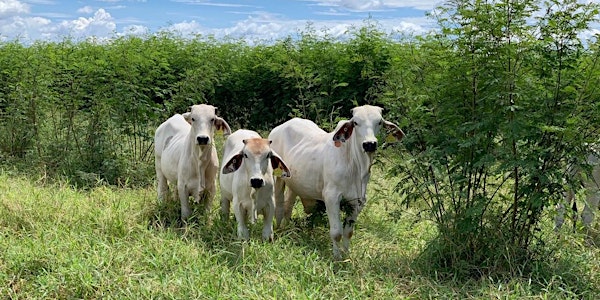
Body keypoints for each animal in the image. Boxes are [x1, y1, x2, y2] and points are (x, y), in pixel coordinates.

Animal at [270, 104, 406, 258]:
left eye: (379, 122)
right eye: (356, 123)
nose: (369, 144)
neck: (356, 167)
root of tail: (278, 128)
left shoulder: (357, 201)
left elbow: (348, 232)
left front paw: (346, 255)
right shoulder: (331, 197)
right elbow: (336, 233)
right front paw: (336, 257)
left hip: (294, 183)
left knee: (288, 205)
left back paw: (286, 229)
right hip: (278, 178)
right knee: (279, 206)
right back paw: (277, 230)